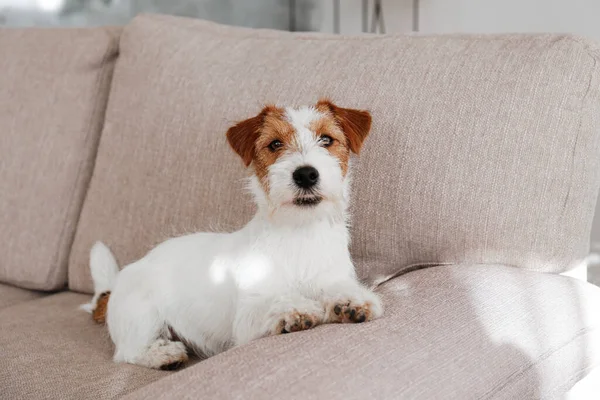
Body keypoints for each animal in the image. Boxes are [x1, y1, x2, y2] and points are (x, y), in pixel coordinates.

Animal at [82, 99, 382, 368]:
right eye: (275, 144)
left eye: (326, 139)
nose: (305, 174)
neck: (300, 232)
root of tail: (115, 285)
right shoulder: (246, 318)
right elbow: (274, 300)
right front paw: (295, 310)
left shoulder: (330, 276)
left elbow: (337, 287)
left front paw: (351, 301)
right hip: (142, 312)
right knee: (128, 352)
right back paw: (164, 354)